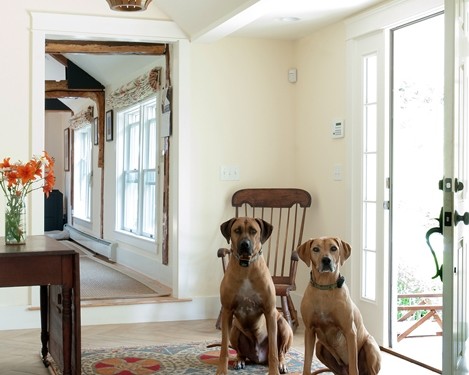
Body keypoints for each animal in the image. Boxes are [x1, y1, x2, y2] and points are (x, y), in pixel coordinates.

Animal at [217, 217, 292, 375]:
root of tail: (258, 359)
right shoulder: (227, 311)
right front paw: (221, 370)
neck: (246, 267)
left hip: (283, 325)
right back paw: (239, 360)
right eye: (237, 230)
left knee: (280, 351)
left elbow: (273, 351)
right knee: (240, 352)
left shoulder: (270, 312)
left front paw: (274, 371)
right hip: (234, 330)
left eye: (253, 231)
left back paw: (281, 364)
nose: (245, 244)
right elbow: (224, 349)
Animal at [298, 238, 382, 375]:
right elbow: (307, 364)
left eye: (333, 248)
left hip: (370, 346)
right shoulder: (309, 330)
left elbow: (354, 366)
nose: (326, 260)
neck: (324, 287)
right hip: (319, 347)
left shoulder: (350, 331)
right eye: (315, 249)